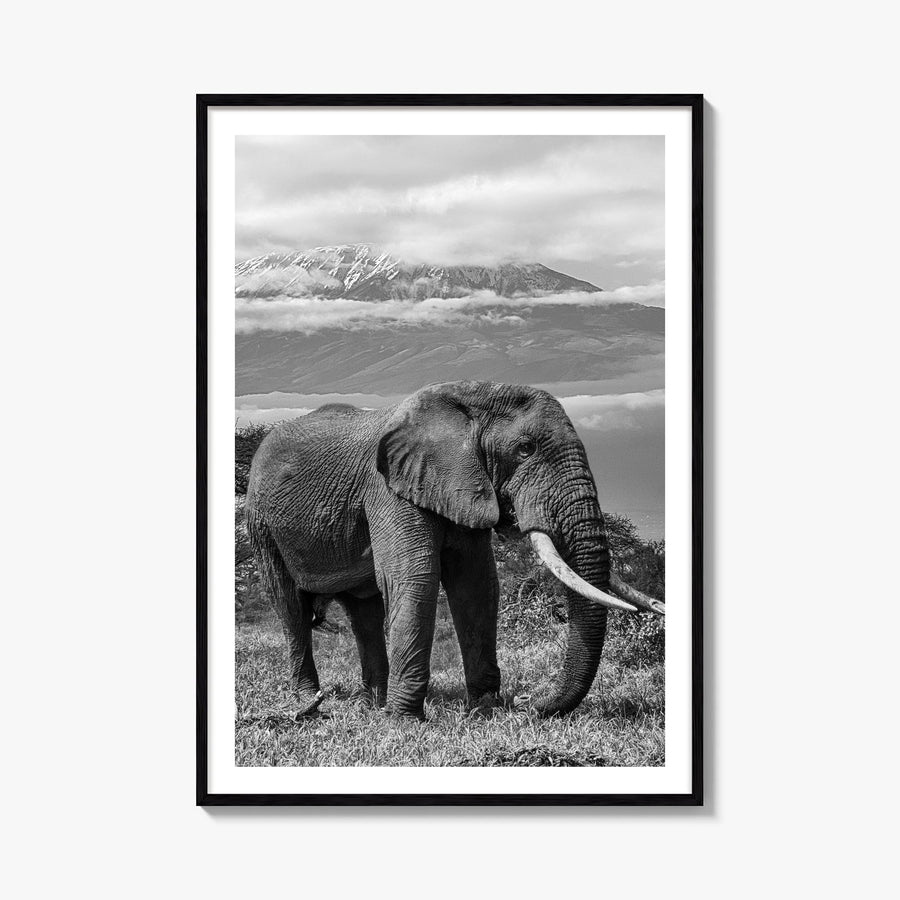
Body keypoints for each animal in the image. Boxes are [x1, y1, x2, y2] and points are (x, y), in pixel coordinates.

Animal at [245, 380, 663, 721]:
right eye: (525, 449)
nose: (529, 702)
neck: (468, 400)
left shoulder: (462, 487)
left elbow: (476, 584)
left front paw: (484, 712)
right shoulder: (388, 489)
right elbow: (415, 578)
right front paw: (406, 723)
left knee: (364, 611)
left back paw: (374, 703)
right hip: (262, 524)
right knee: (291, 608)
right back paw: (311, 702)